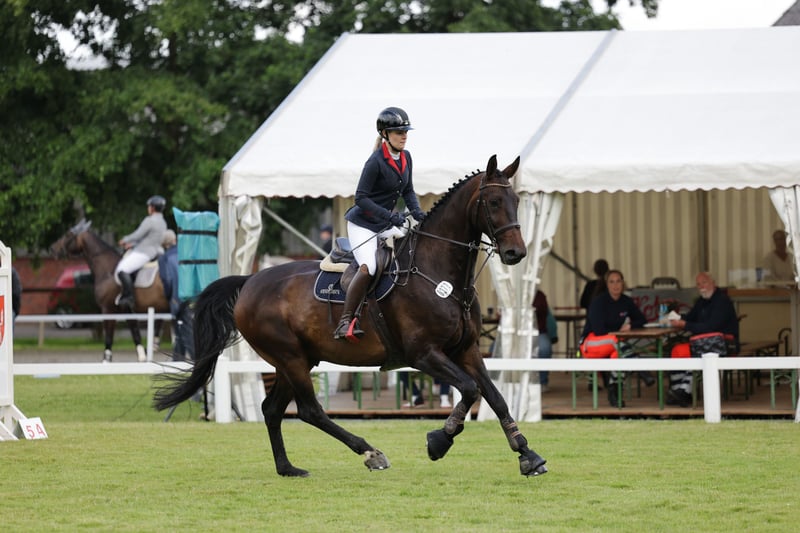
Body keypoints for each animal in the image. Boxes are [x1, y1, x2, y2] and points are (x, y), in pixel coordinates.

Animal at [50, 220, 170, 362]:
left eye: (68, 234)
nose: (52, 249)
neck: (107, 270)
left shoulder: (108, 309)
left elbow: (109, 335)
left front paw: (106, 359)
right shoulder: (126, 310)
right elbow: (135, 332)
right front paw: (142, 357)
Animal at [154, 155, 548, 478]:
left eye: (516, 202)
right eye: (493, 202)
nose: (516, 253)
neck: (440, 273)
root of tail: (249, 280)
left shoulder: (465, 350)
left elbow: (494, 396)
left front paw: (527, 455)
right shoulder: (424, 354)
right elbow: (468, 390)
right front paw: (440, 440)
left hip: (293, 360)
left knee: (272, 409)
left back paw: (288, 468)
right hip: (291, 358)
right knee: (310, 411)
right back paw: (370, 452)